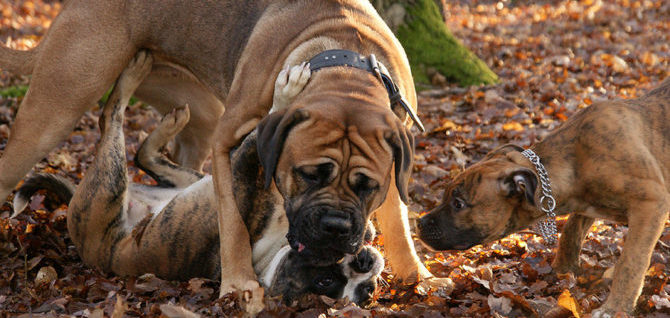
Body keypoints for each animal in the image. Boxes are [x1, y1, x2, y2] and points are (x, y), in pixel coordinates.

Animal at [14, 52, 384, 306]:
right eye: (324, 281)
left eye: (362, 291)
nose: (366, 263)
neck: (268, 259)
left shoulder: (239, 171)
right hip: (183, 178)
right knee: (142, 151)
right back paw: (168, 113)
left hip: (109, 182)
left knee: (114, 121)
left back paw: (137, 77)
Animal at [420, 78, 670, 316]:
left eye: (458, 203)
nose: (419, 223)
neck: (576, 159)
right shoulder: (585, 205)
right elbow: (570, 233)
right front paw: (563, 270)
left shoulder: (651, 204)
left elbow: (630, 262)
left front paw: (615, 307)